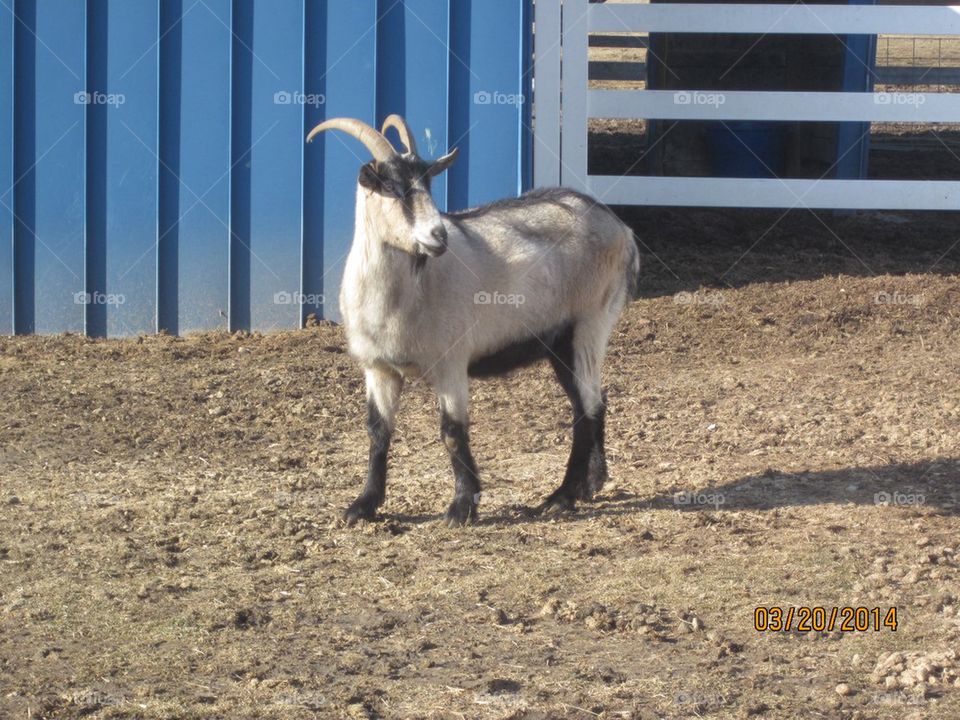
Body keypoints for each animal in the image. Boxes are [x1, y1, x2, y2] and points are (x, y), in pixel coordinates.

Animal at [306, 115, 640, 526]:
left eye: (428, 183)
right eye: (391, 187)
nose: (438, 236)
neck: (406, 295)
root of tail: (621, 229)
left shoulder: (450, 361)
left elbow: (452, 430)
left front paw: (461, 508)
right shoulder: (378, 368)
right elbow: (378, 431)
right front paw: (363, 505)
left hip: (589, 325)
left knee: (588, 408)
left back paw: (561, 498)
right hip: (561, 343)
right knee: (590, 403)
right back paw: (590, 484)